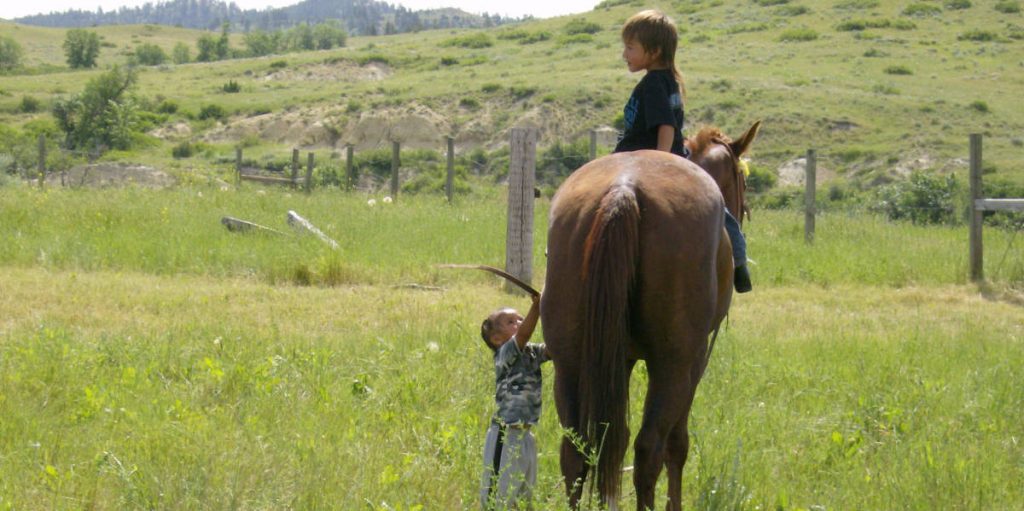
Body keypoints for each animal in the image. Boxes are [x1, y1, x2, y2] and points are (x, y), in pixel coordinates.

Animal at [540, 121, 760, 510]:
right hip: (672, 365)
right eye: (741, 181)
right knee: (649, 449)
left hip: (570, 363)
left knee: (576, 451)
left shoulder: (619, 358)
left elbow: (612, 438)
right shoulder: (695, 361)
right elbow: (677, 443)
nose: (745, 209)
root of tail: (623, 189)